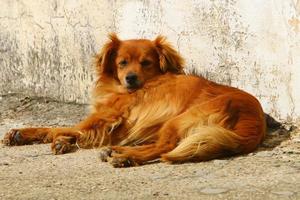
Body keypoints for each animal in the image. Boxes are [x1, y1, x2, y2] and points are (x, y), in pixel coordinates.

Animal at [2, 34, 264, 167]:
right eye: (122, 63)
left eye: (146, 63)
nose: (130, 78)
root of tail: (253, 121)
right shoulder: (111, 127)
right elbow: (65, 130)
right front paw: (45, 138)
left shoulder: (107, 118)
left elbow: (61, 127)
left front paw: (45, 136)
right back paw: (117, 151)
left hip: (179, 119)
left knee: (164, 147)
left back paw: (125, 157)